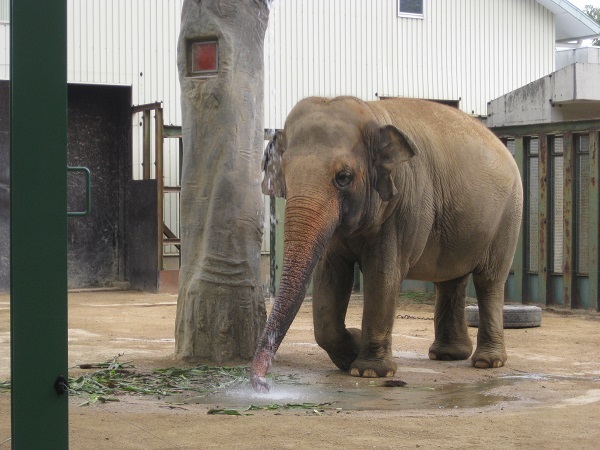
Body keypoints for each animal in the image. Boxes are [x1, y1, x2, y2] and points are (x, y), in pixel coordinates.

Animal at [251, 96, 524, 392]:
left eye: (343, 177)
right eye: (285, 177)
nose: (260, 382)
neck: (371, 112)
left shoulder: (403, 205)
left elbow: (383, 274)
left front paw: (368, 371)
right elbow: (330, 276)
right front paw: (351, 352)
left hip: (509, 213)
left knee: (489, 280)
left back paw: (487, 362)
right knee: (451, 281)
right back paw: (447, 355)